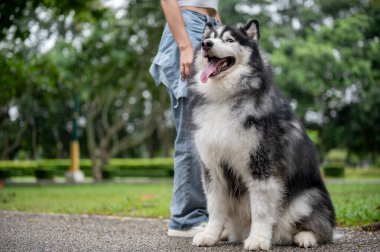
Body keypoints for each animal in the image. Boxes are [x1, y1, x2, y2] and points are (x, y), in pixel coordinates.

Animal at [189, 20, 334, 250]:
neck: (225, 97)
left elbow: (261, 209)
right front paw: (210, 235)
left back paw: (306, 237)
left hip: (307, 198)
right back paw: (225, 233)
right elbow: (215, 207)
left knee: (322, 229)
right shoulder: (213, 167)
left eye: (229, 40)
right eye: (209, 37)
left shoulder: (261, 165)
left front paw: (258, 239)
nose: (206, 44)